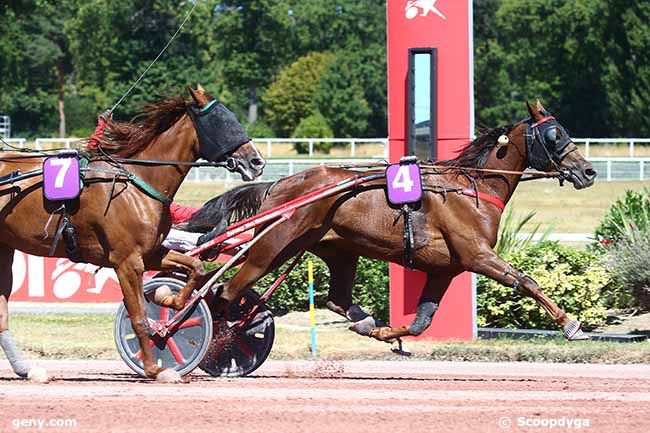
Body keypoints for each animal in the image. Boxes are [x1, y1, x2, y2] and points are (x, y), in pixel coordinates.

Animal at [0, 85, 264, 382]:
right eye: (222, 122)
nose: (256, 161)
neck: (137, 183)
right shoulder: (127, 262)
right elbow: (138, 316)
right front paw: (155, 368)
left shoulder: (150, 254)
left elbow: (194, 267)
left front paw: (169, 298)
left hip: (5, 247)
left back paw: (26, 369)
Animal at [185, 99, 596, 342]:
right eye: (555, 134)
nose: (588, 171)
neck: (471, 186)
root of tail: (279, 184)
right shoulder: (477, 255)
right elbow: (526, 281)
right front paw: (571, 324)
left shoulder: (446, 269)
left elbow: (421, 322)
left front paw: (389, 335)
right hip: (272, 246)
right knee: (227, 290)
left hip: (335, 250)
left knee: (335, 298)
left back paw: (364, 321)